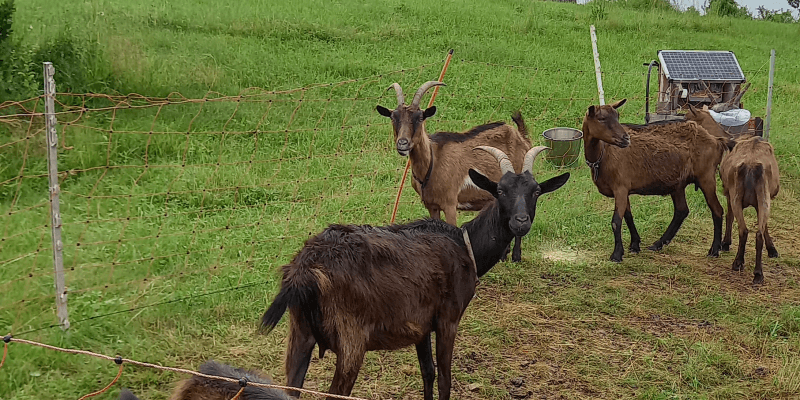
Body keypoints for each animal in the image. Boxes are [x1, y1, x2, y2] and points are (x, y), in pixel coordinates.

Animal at [260, 147, 564, 400]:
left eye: (536, 191)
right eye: (500, 190)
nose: (520, 222)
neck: (466, 247)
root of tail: (305, 268)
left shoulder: (421, 324)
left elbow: (427, 372)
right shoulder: (447, 318)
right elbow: (444, 379)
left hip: (300, 334)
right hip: (350, 340)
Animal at [376, 81, 536, 262]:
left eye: (420, 117)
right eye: (393, 117)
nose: (402, 144)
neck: (433, 163)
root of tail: (522, 137)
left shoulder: (450, 204)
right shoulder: (431, 205)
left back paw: (516, 256)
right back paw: (503, 254)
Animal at [720, 136, 780, 282]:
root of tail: (751, 166)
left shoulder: (728, 193)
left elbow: (729, 216)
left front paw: (725, 243)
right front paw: (772, 250)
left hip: (738, 196)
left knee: (744, 230)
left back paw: (739, 263)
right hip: (762, 197)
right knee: (757, 233)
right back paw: (758, 273)